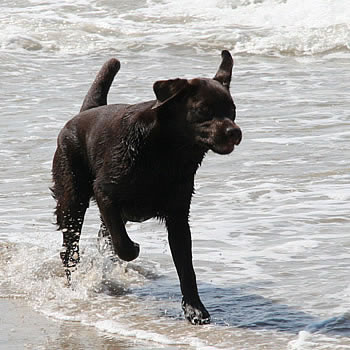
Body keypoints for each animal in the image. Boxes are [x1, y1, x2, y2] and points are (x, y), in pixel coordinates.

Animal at [52, 50, 242, 326]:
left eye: (232, 110)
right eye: (203, 110)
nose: (234, 132)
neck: (166, 152)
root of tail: (87, 111)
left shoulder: (178, 217)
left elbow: (186, 267)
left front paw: (194, 309)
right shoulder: (105, 193)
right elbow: (124, 245)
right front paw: (132, 249)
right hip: (72, 197)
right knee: (70, 247)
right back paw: (74, 283)